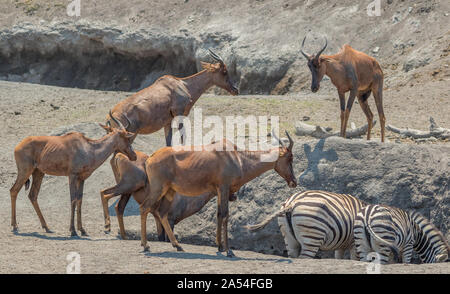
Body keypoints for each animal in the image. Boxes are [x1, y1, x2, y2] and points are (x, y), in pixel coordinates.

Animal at [100, 149, 237, 241]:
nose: (234, 196)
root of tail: (119, 156)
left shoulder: (158, 218)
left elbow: (160, 237)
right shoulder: (169, 219)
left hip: (127, 192)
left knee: (119, 207)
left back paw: (124, 236)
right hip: (128, 185)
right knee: (104, 194)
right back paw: (107, 226)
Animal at [107, 49, 239, 147]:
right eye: (224, 71)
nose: (235, 90)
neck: (182, 84)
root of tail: (110, 116)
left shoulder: (168, 121)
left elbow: (169, 143)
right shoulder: (179, 113)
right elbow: (183, 137)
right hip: (130, 133)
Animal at [139, 132, 298, 256]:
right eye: (290, 157)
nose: (294, 182)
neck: (236, 156)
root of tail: (151, 157)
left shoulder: (218, 192)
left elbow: (219, 214)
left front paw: (220, 246)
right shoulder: (224, 188)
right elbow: (225, 215)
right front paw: (229, 251)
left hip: (169, 191)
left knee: (162, 213)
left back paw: (177, 246)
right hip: (158, 189)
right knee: (145, 207)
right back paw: (146, 246)